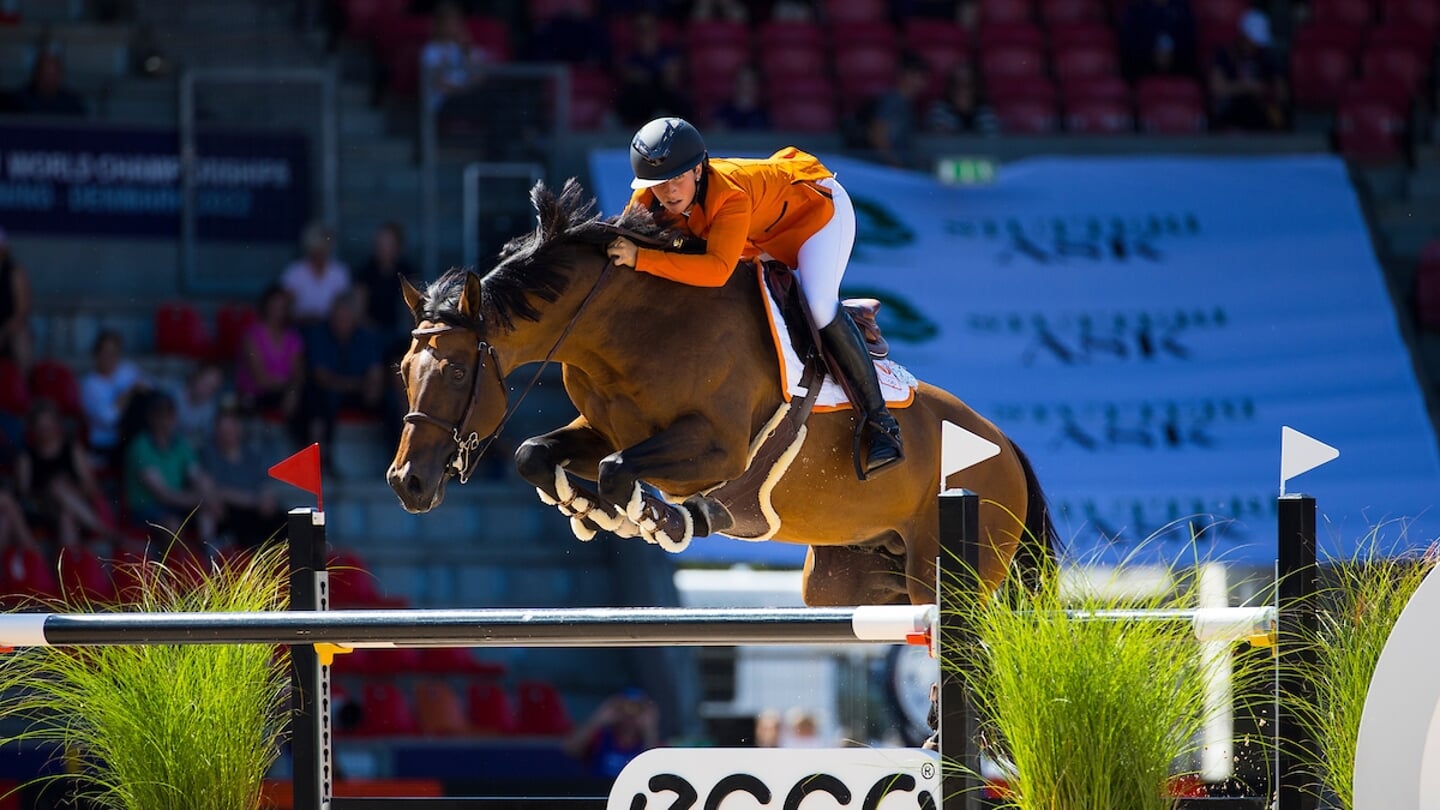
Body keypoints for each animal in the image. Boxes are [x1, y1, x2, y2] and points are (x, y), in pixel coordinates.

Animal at [383, 177, 1059, 605]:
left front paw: (659, 518)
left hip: (946, 570)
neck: (630, 327)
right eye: (402, 371)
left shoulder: (718, 448)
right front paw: (582, 505)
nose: (407, 483)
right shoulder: (604, 427)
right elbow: (537, 454)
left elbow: (618, 471)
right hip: (853, 577)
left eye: (458, 372)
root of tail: (1006, 446)